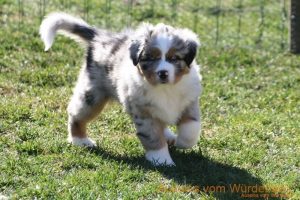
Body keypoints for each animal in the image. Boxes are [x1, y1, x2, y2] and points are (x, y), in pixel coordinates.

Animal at [39, 12, 202, 166]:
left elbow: (191, 128)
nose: (163, 73)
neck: (165, 89)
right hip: (92, 96)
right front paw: (162, 160)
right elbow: (153, 136)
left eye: (174, 58)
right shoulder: (143, 113)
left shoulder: (190, 102)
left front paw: (182, 142)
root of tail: (99, 37)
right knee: (76, 114)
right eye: (151, 58)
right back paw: (80, 140)